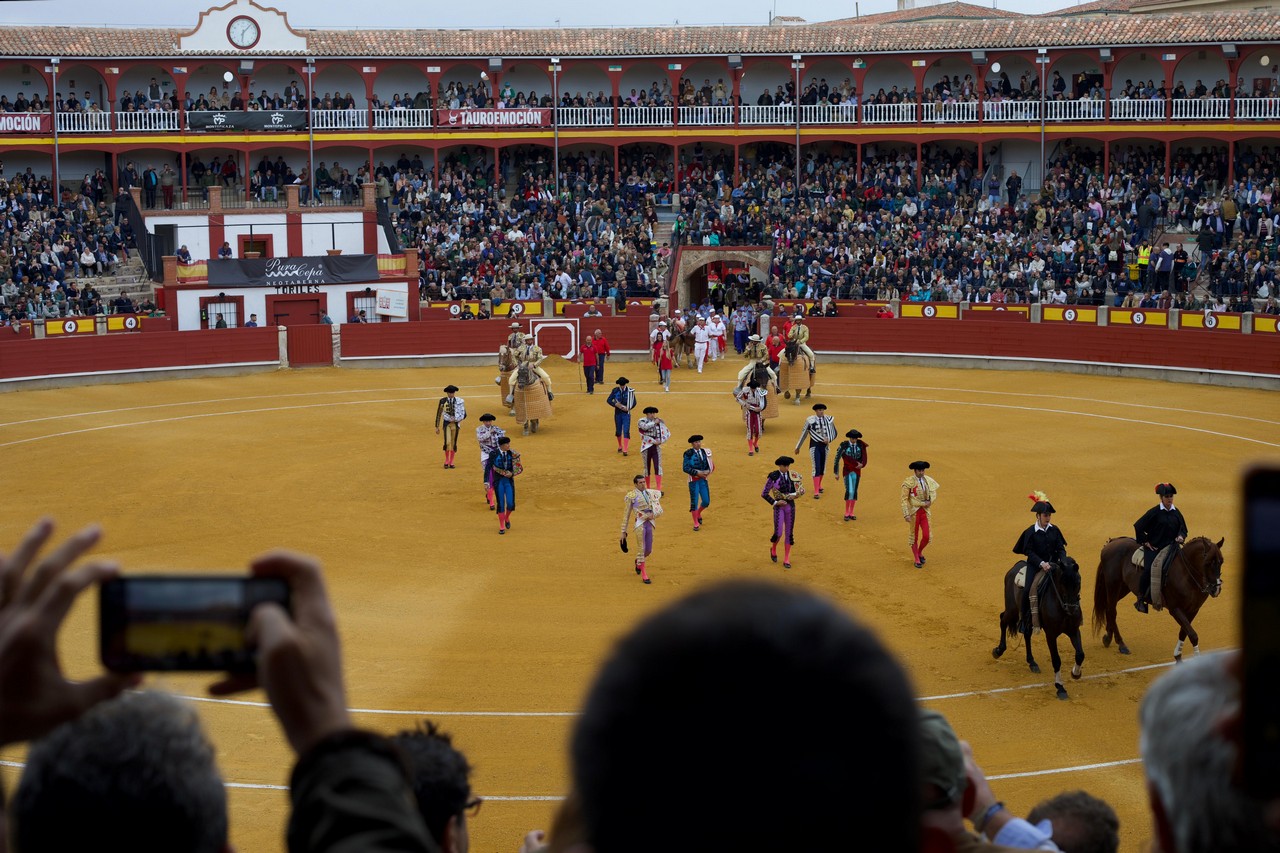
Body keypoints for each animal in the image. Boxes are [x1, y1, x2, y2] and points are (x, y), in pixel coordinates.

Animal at [988, 555, 1080, 696]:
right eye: (1062, 582)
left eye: (1078, 582)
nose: (1071, 609)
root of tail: (1016, 566)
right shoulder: (1051, 635)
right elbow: (1056, 660)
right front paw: (1060, 688)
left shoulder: (1074, 630)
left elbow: (1080, 654)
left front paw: (1075, 673)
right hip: (1012, 609)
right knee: (1003, 619)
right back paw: (998, 650)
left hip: (1027, 618)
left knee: (1026, 634)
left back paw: (1032, 662)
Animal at [1095, 535, 1223, 660]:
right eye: (1208, 563)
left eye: (1221, 562)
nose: (1216, 589)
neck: (1186, 574)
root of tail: (1112, 542)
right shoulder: (1175, 609)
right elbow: (1193, 635)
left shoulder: (1193, 610)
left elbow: (1184, 632)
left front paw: (1177, 655)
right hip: (1113, 585)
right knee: (1112, 610)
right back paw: (1121, 644)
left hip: (1123, 588)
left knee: (1109, 608)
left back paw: (1108, 638)